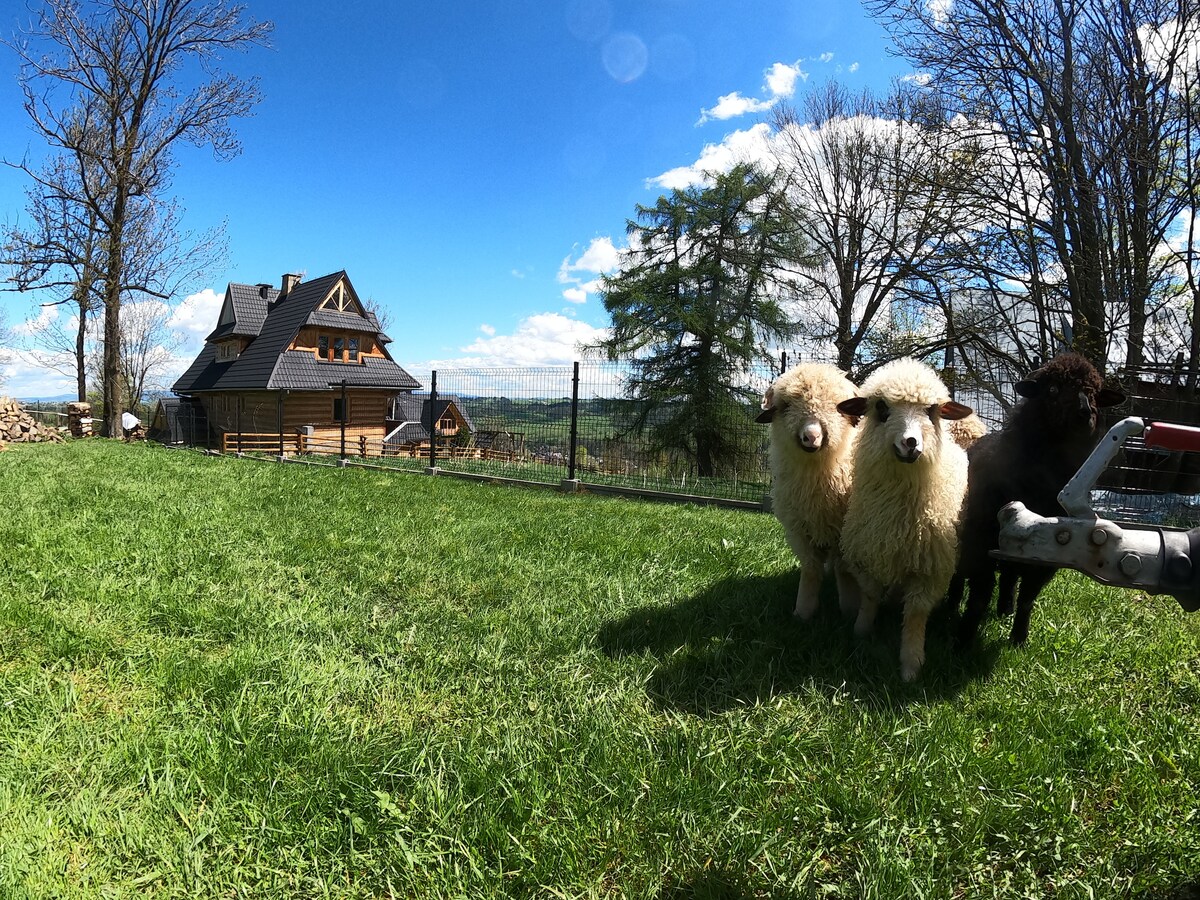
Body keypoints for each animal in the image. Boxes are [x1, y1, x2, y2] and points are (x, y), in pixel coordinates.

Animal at [758, 362, 864, 624]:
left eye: (838, 408)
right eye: (785, 406)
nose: (811, 436)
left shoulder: (844, 533)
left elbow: (844, 571)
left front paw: (850, 610)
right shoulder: (799, 531)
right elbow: (810, 570)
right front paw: (803, 611)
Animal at [835, 360, 974, 681]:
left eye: (932, 410)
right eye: (881, 407)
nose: (910, 443)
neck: (897, 515)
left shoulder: (930, 570)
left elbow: (915, 614)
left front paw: (911, 663)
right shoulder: (867, 553)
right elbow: (869, 596)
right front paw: (861, 633)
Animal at [945, 352, 1123, 648]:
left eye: (1094, 393)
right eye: (1052, 389)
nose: (1085, 413)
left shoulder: (1051, 553)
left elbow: (1027, 598)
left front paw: (1019, 639)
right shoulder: (979, 541)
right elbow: (980, 595)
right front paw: (963, 641)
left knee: (1009, 576)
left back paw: (1005, 608)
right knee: (962, 575)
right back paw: (951, 605)